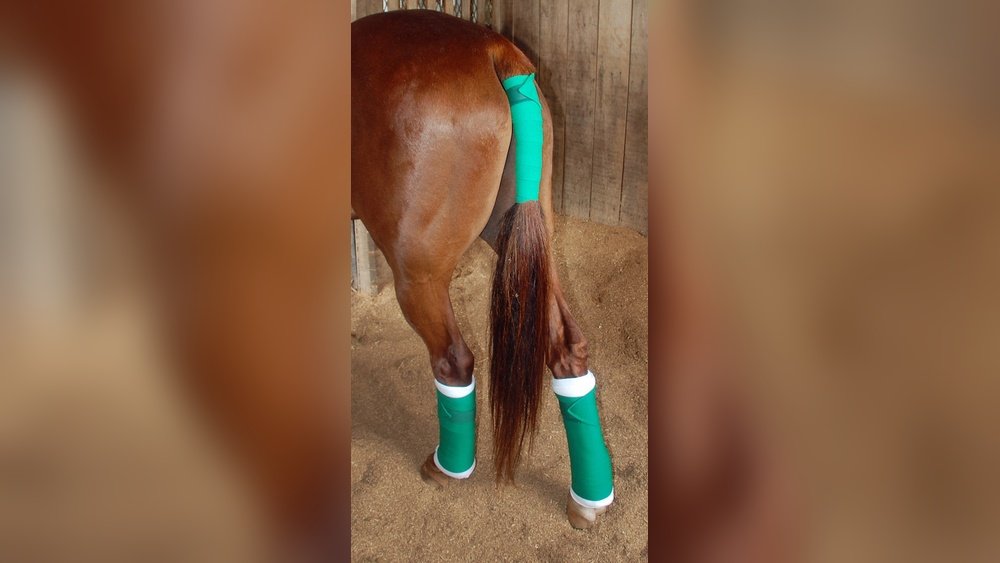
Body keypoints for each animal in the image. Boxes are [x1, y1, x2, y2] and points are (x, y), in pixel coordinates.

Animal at [352, 10, 615, 528]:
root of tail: (496, 51)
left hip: (418, 272)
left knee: (454, 361)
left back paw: (447, 468)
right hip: (524, 235)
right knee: (568, 347)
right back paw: (588, 499)